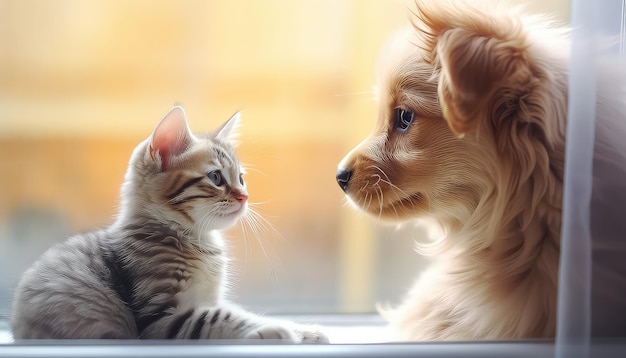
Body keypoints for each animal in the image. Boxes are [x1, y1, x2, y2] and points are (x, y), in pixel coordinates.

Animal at [11, 105, 326, 342]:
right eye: (216, 177)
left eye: (241, 178)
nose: (245, 196)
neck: (195, 239)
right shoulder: (162, 316)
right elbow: (223, 317)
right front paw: (276, 329)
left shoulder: (206, 300)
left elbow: (239, 310)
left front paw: (305, 330)